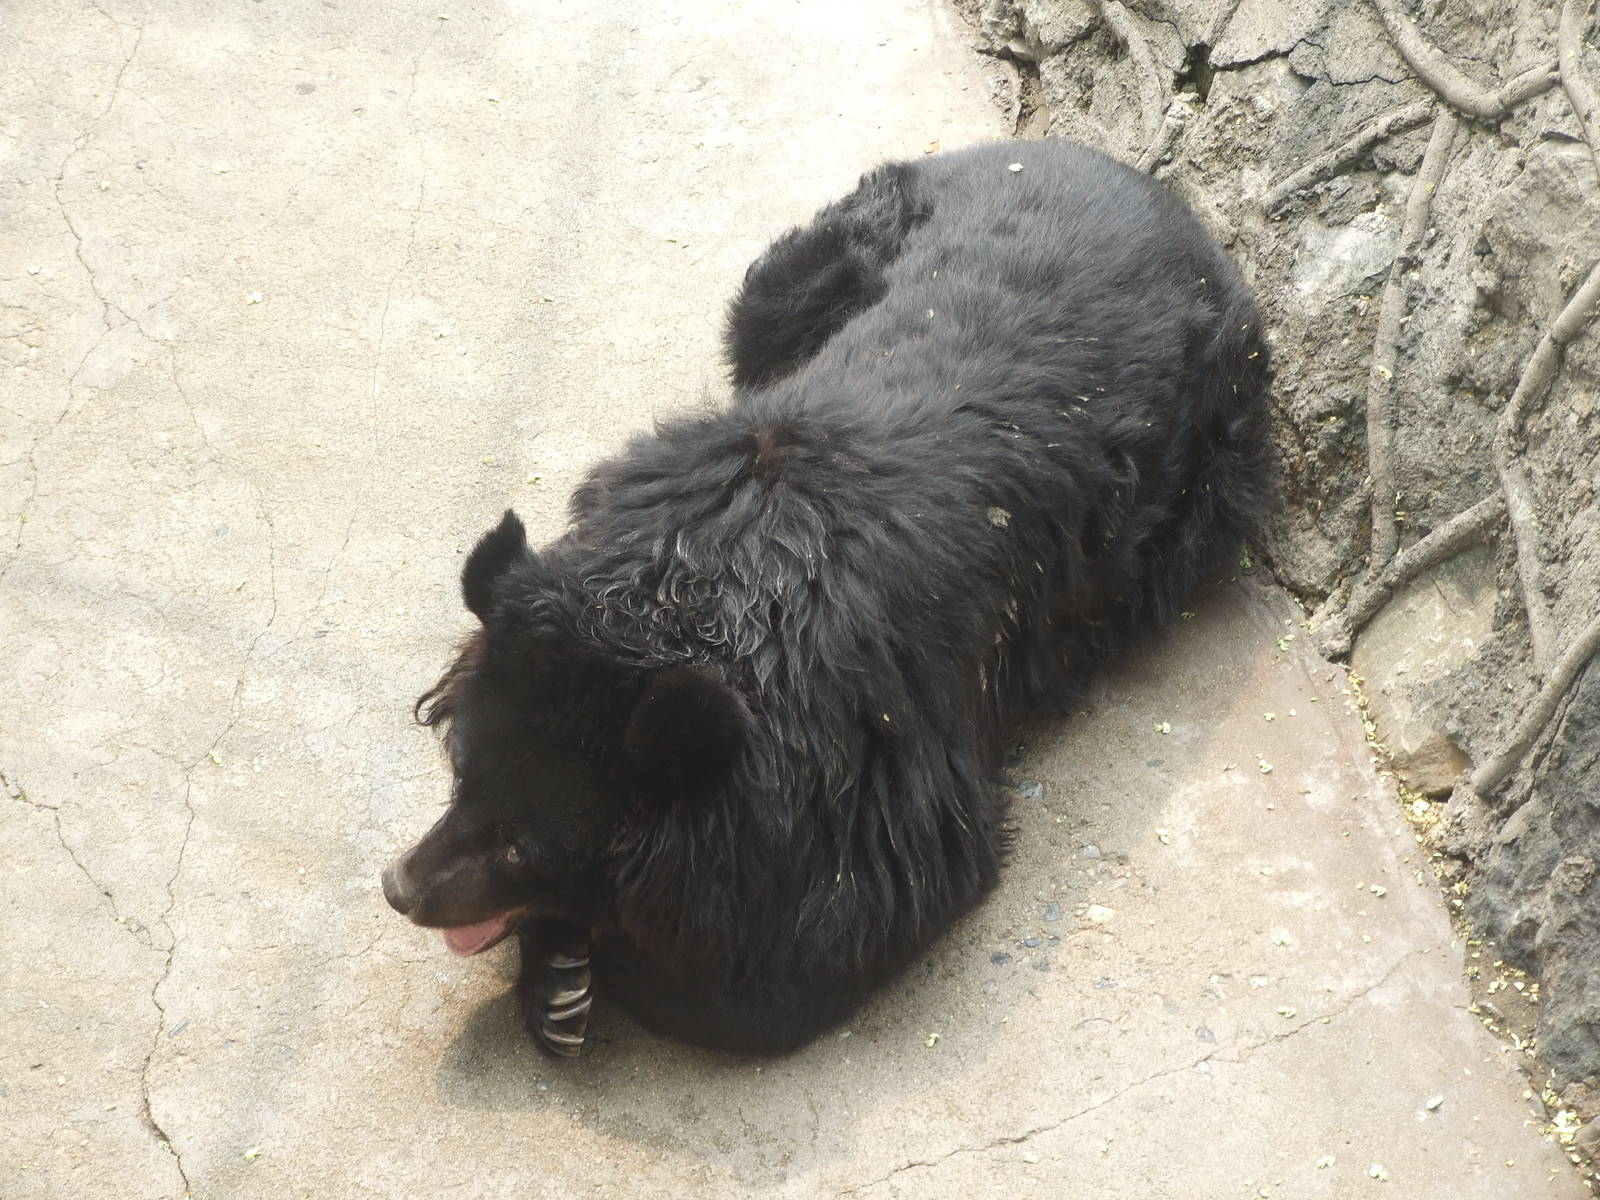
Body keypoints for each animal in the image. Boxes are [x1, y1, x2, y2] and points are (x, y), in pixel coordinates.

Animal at [381, 139, 1274, 1057]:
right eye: (460, 774)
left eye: (523, 848)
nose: (399, 886)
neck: (694, 591)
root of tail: (1129, 174)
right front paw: (557, 975)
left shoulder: (866, 753)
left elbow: (827, 937)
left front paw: (572, 961)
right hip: (807, 267)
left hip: (1210, 470)